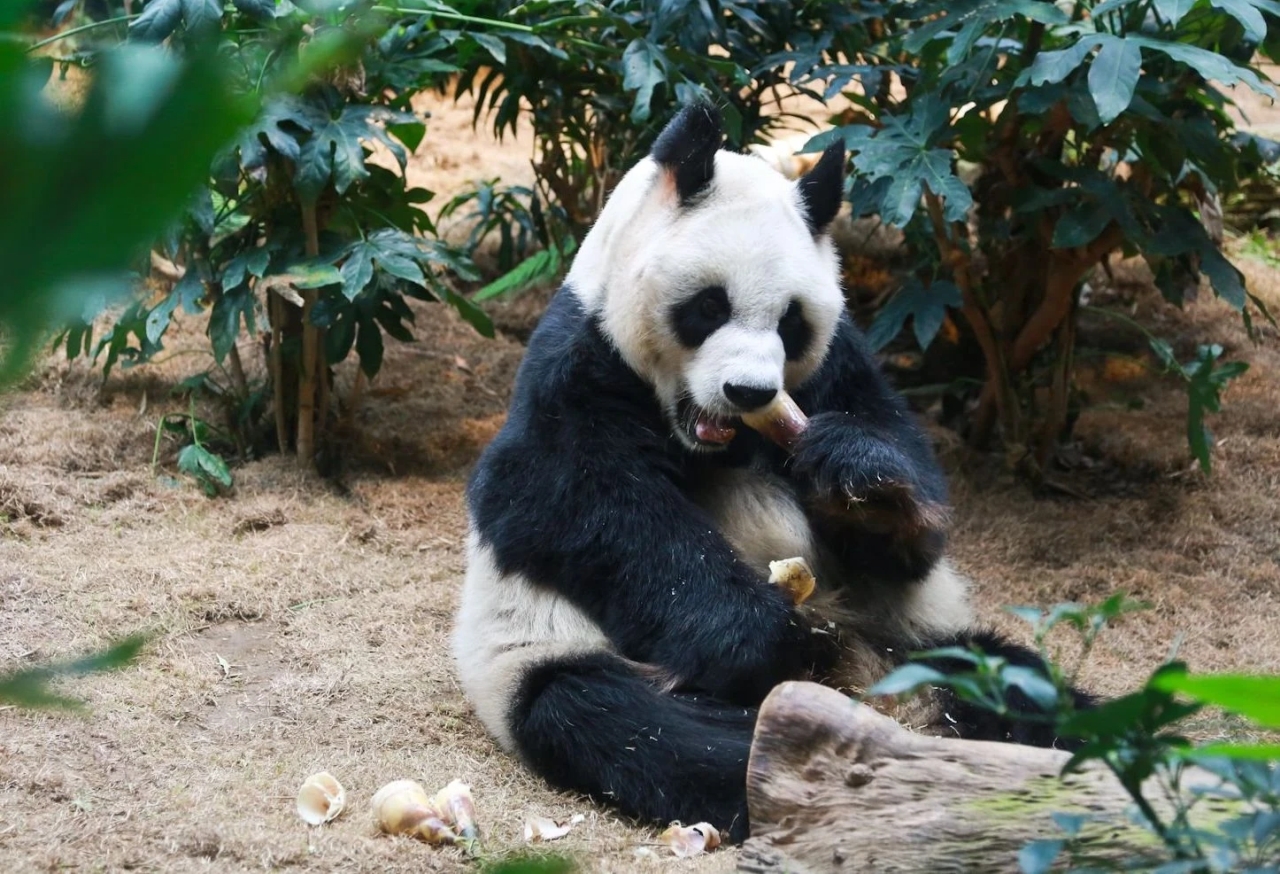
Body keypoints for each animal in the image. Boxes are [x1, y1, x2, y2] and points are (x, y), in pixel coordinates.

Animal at [450, 101, 1090, 839]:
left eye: (791, 322)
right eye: (709, 306)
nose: (751, 392)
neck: (706, 441)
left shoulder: (840, 364)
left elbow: (907, 515)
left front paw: (865, 486)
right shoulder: (578, 365)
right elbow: (566, 500)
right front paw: (764, 633)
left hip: (920, 638)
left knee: (1016, 683)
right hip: (557, 659)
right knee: (634, 724)